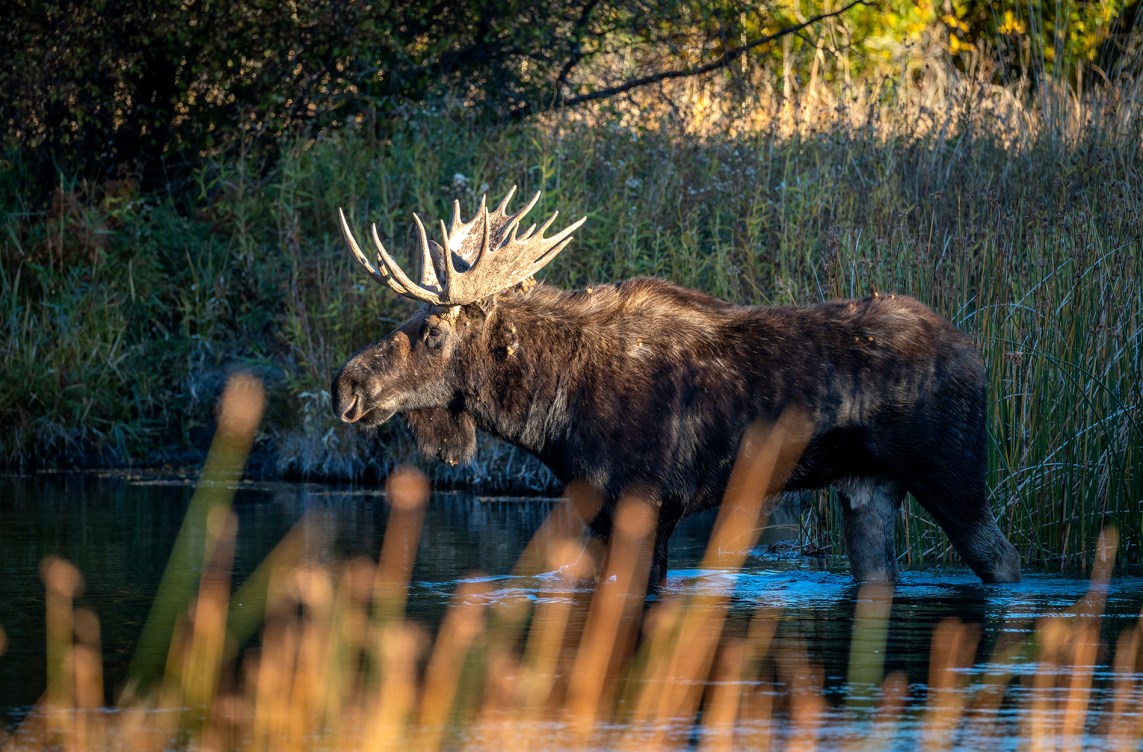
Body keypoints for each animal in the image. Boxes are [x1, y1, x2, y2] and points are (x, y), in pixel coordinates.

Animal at [331, 188, 1021, 588]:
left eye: (433, 330)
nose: (345, 384)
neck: (548, 415)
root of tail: (976, 352)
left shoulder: (648, 504)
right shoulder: (603, 511)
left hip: (952, 471)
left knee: (1003, 561)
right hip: (868, 491)